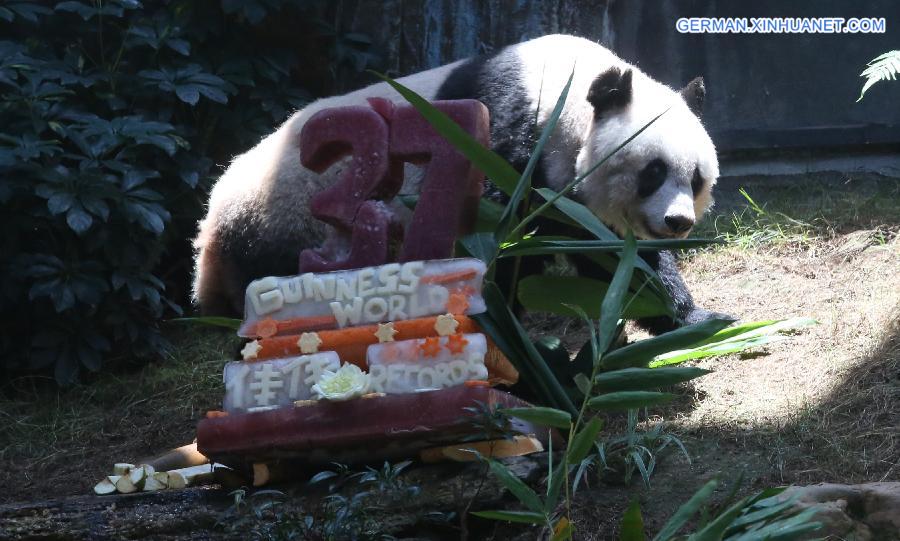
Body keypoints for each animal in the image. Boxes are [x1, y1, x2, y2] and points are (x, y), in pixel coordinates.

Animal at [195, 33, 724, 332]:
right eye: (653, 171)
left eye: (696, 178)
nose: (677, 222)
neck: (567, 95)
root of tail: (210, 226)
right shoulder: (505, 137)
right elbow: (493, 241)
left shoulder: (569, 196)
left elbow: (615, 257)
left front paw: (697, 319)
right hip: (288, 220)